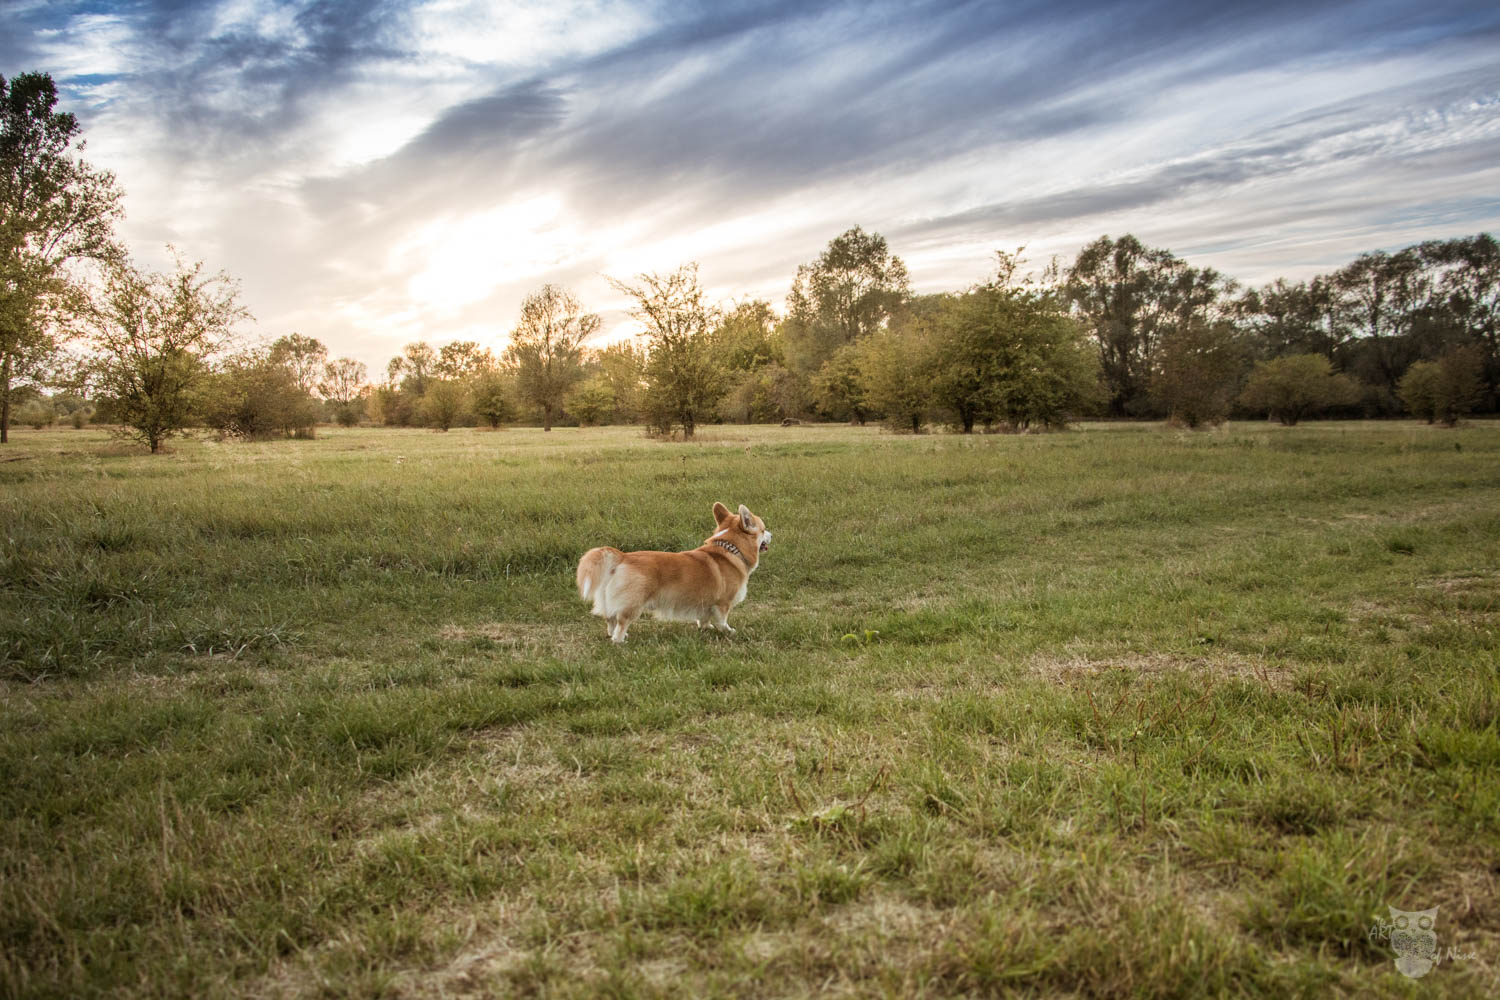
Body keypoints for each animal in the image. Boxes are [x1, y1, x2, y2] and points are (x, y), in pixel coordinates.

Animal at [576, 502, 771, 643]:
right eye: (763, 530)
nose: (771, 534)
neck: (730, 548)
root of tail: (623, 557)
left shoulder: (706, 605)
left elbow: (704, 618)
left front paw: (706, 628)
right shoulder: (723, 603)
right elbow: (722, 621)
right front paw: (729, 631)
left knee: (610, 620)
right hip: (633, 605)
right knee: (621, 623)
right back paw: (620, 641)